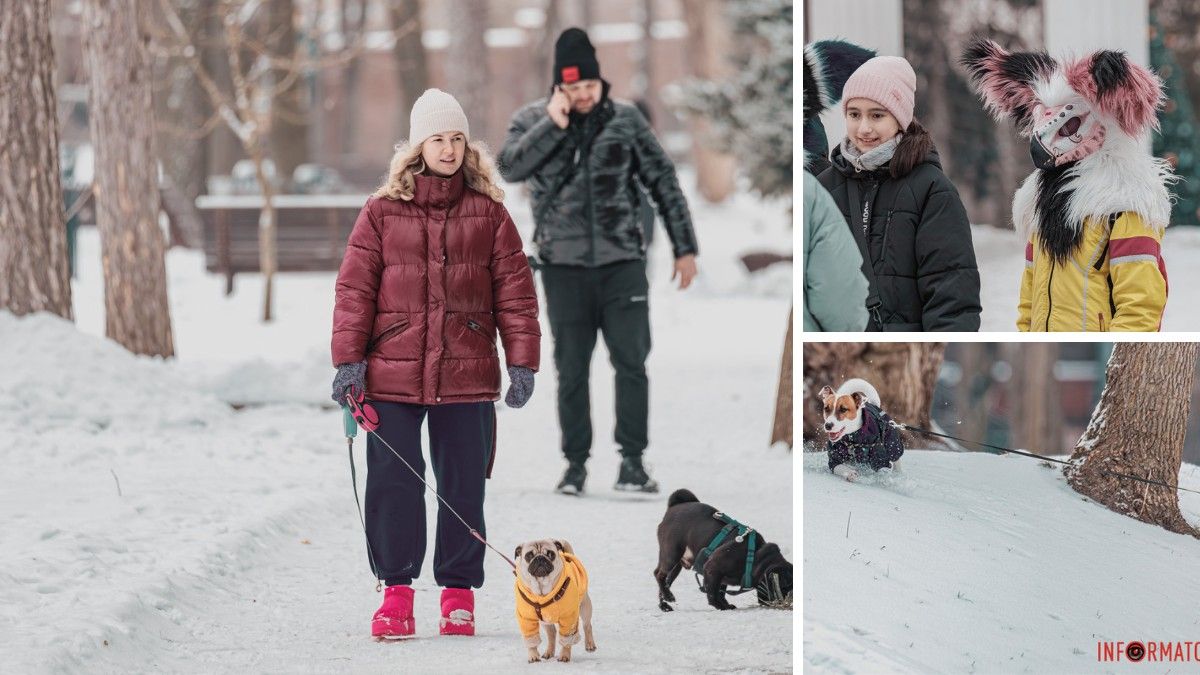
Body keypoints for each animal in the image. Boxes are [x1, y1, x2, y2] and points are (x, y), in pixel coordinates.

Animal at [652, 485, 792, 607]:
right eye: (787, 587)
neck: (755, 558)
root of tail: (674, 507)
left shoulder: (720, 576)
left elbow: (720, 591)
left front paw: (725, 604)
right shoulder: (712, 568)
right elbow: (712, 593)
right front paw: (720, 606)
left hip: (676, 566)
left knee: (666, 581)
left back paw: (665, 604)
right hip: (672, 554)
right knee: (659, 574)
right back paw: (668, 597)